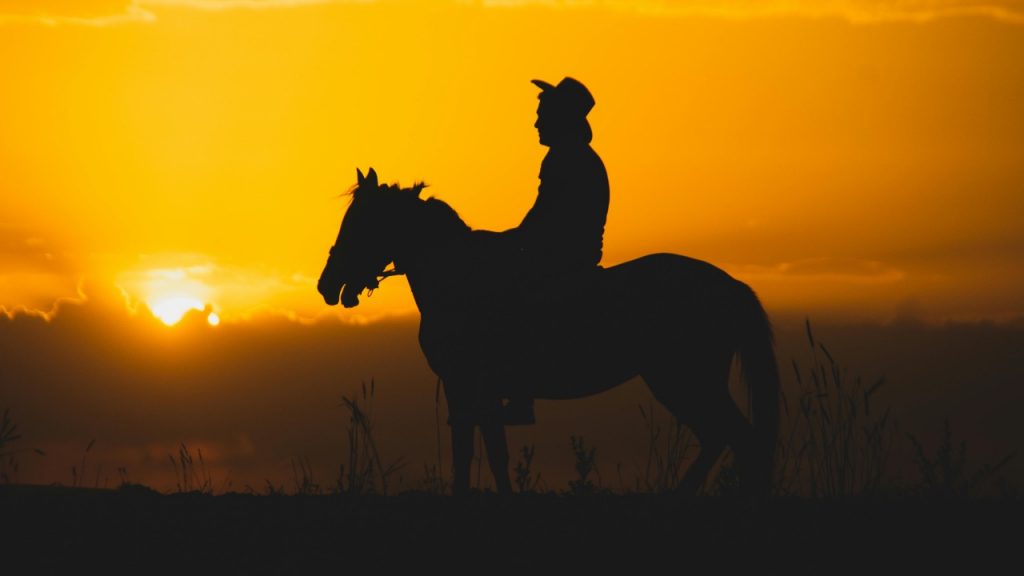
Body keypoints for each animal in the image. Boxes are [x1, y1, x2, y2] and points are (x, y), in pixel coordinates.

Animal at [318, 168, 780, 497]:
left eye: (359, 224)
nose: (327, 284)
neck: (459, 280)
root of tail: (730, 286)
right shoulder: (475, 391)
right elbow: (492, 451)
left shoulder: (466, 385)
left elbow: (471, 450)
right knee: (725, 437)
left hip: (683, 379)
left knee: (734, 436)